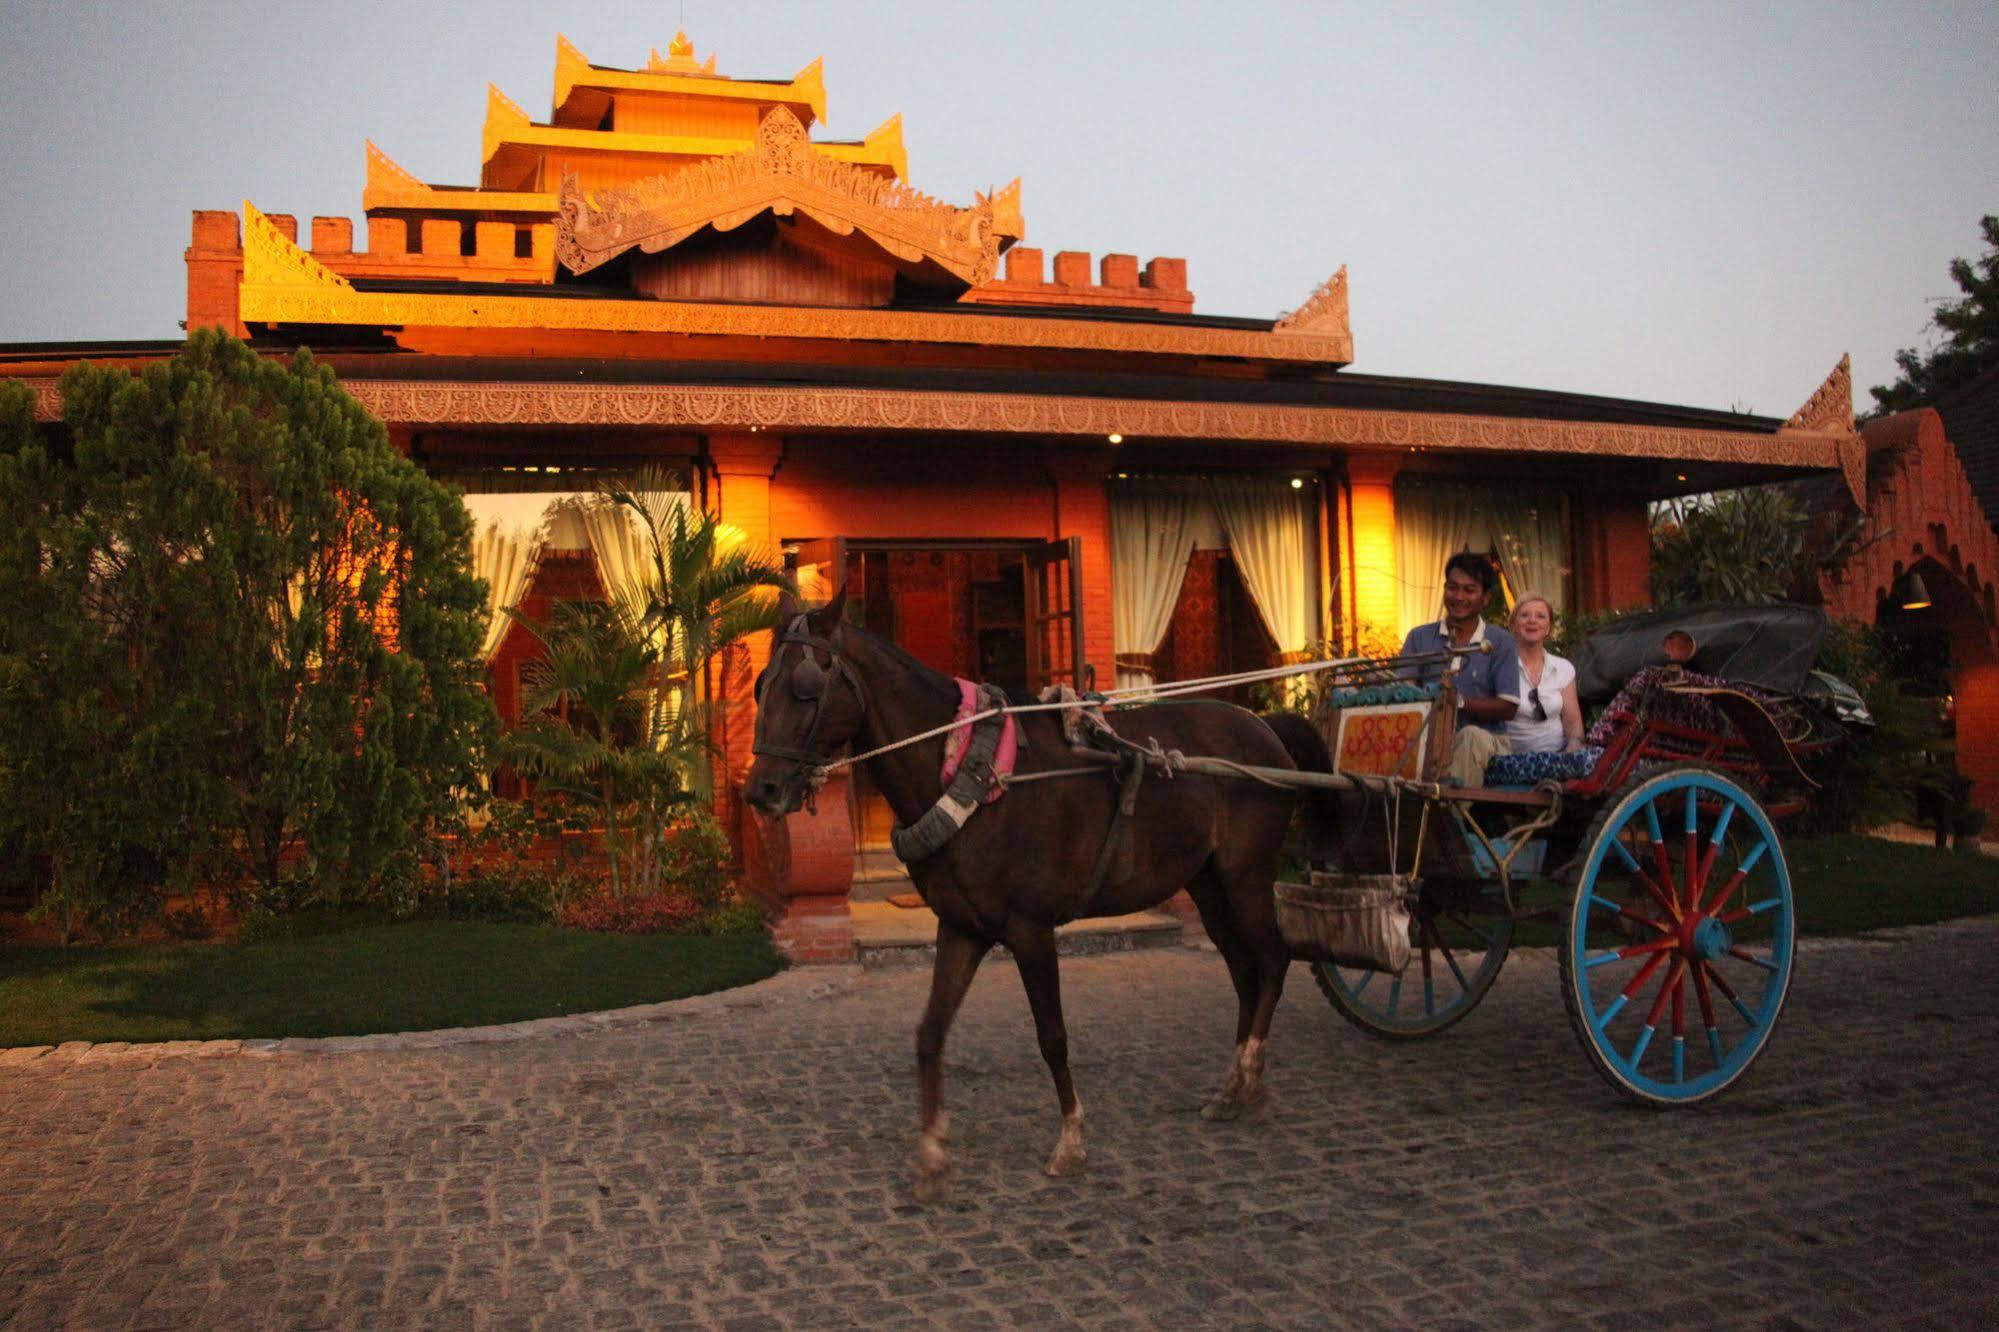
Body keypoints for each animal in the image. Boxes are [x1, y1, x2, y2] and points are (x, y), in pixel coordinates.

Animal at [739, 588, 1327, 1200]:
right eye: (761, 686)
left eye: (807, 686)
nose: (761, 790)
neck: (967, 769)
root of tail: (1266, 728)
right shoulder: (962, 928)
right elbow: (930, 1033)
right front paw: (931, 1152)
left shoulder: (1030, 930)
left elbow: (1052, 1036)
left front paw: (1070, 1140)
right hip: (1208, 884)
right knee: (1243, 970)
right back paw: (1231, 1087)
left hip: (1246, 875)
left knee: (1273, 960)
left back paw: (1252, 1076)